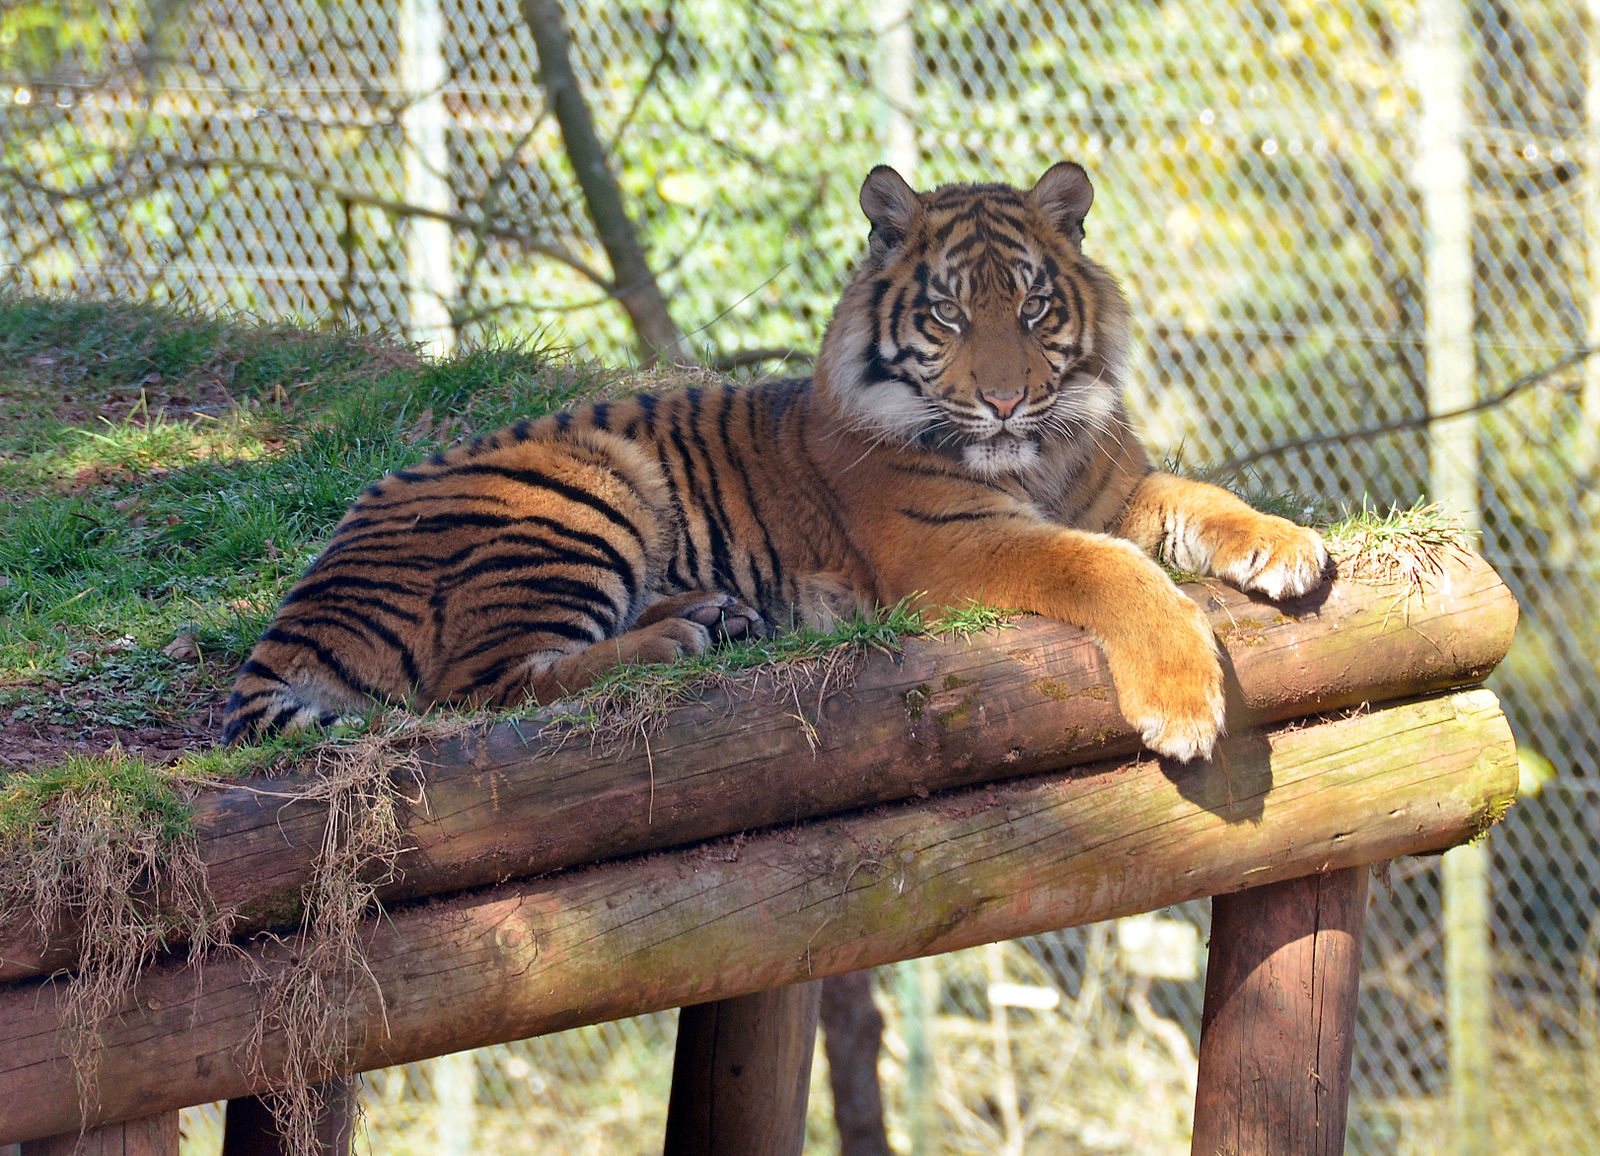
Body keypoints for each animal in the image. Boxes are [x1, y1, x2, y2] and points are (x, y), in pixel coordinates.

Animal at [219, 161, 1331, 755]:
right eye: (946, 312)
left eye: (1031, 306)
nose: (1006, 397)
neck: (1034, 455)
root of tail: (298, 604)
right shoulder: (954, 544)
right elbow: (1109, 568)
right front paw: (1183, 702)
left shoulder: (1115, 486)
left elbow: (1204, 496)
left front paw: (1289, 548)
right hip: (586, 484)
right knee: (480, 687)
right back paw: (674, 639)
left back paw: (714, 614)